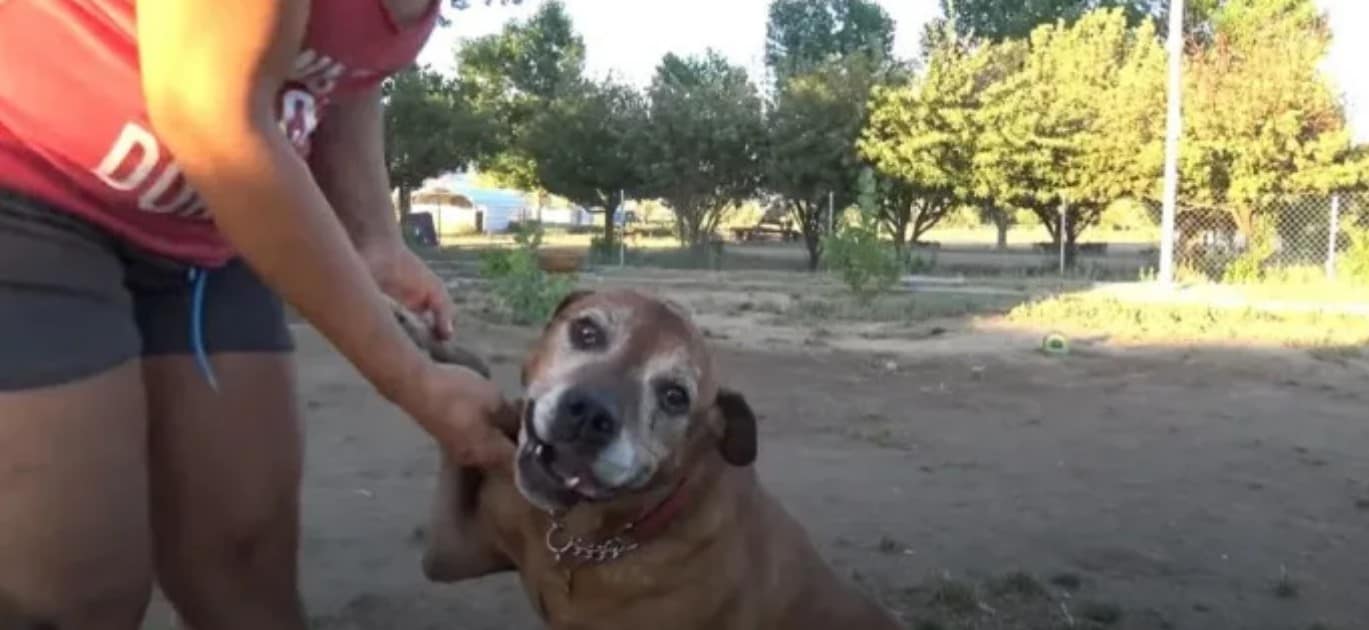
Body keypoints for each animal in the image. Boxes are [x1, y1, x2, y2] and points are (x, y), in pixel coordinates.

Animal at [399, 290, 903, 630]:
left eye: (675, 397)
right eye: (586, 331)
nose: (590, 415)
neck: (583, 537)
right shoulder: (451, 551)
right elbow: (475, 379)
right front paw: (418, 328)